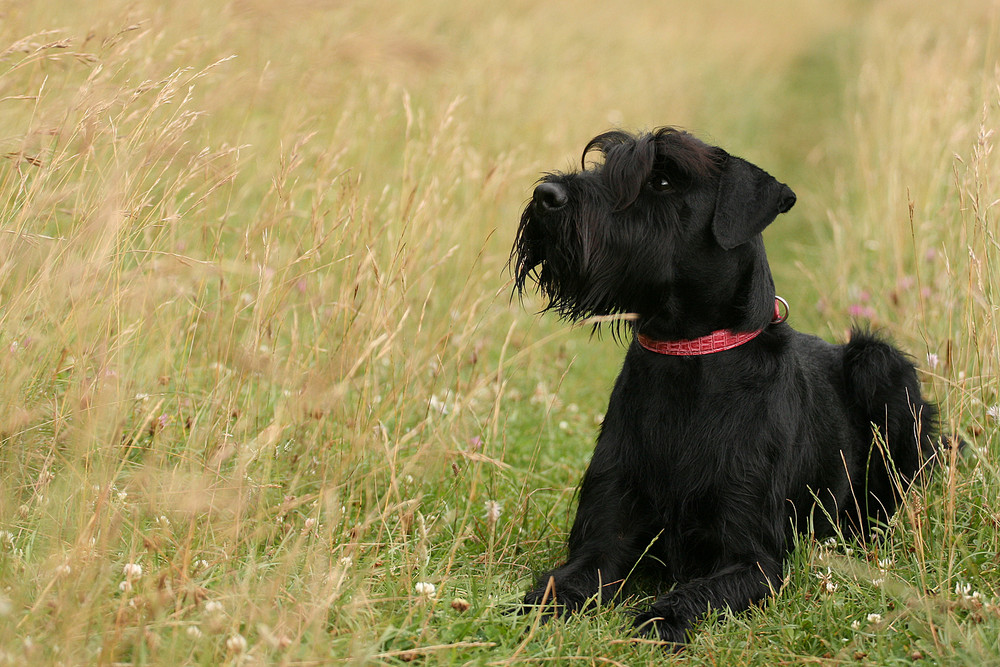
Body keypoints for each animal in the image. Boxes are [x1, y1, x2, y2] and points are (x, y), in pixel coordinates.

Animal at [512, 128, 940, 644]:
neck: (688, 357)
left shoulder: (750, 560)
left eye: (661, 179)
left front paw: (659, 621)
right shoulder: (601, 542)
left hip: (880, 365)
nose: (546, 196)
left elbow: (688, 598)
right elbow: (560, 584)